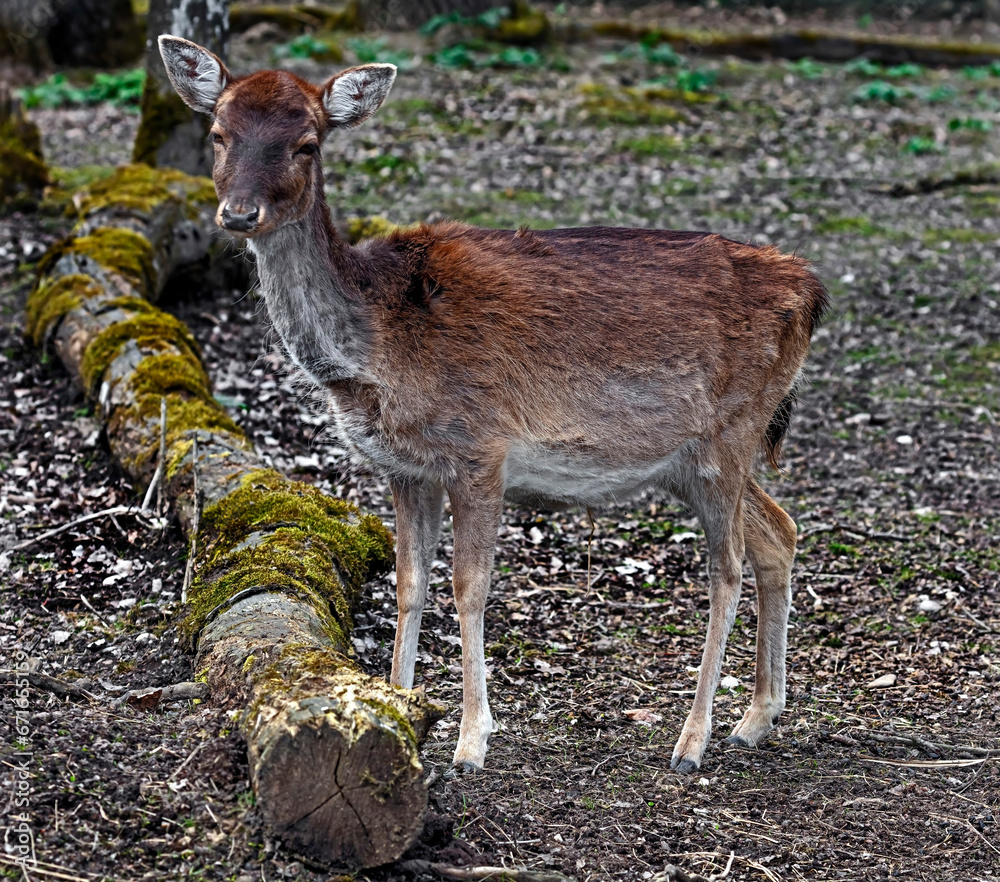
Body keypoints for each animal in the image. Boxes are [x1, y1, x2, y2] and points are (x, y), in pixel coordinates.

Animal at [158, 35, 827, 774]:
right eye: (218, 133)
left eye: (307, 142)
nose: (238, 214)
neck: (374, 352)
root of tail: (812, 290)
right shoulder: (404, 468)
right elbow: (409, 584)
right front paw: (398, 705)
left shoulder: (481, 447)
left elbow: (469, 586)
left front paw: (472, 738)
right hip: (692, 459)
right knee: (780, 532)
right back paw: (757, 718)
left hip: (733, 430)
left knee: (727, 568)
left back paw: (694, 738)